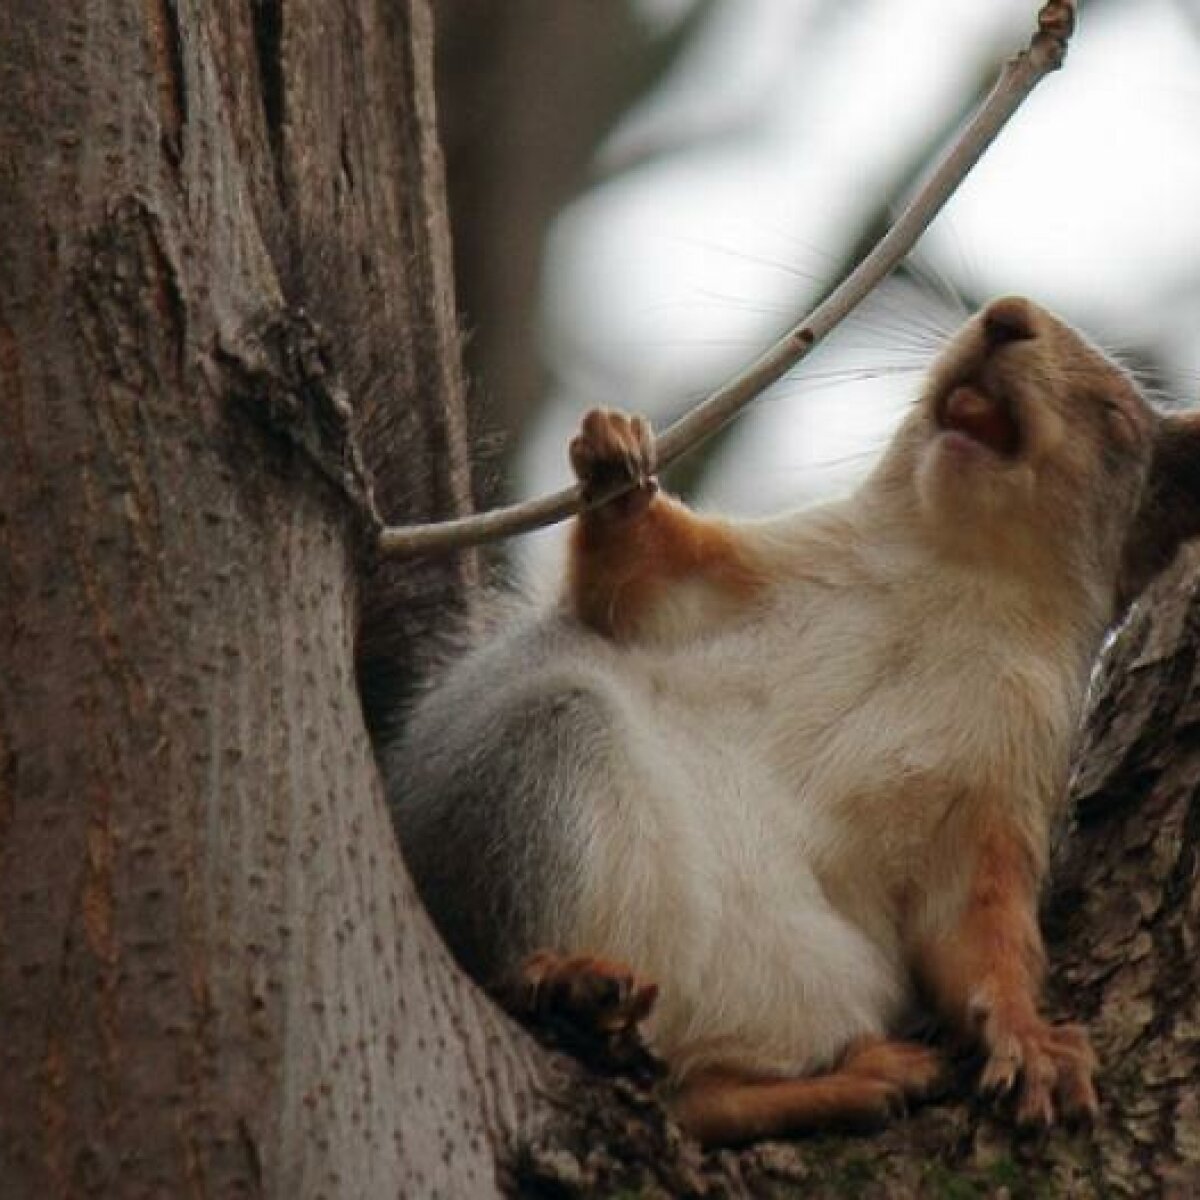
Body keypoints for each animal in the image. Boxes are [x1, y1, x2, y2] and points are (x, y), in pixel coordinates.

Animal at [388, 297, 1200, 1142]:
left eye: (1115, 417)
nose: (1006, 314)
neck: (957, 575)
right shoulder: (762, 562)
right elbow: (632, 576)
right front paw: (617, 465)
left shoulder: (1002, 782)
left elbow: (976, 933)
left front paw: (1029, 1035)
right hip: (539, 772)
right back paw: (565, 977)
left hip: (816, 983)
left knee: (698, 1098)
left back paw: (848, 1080)